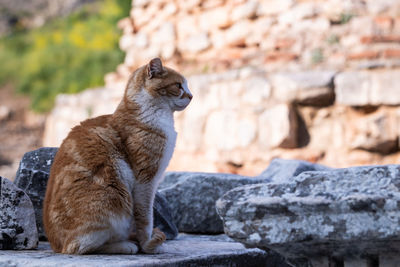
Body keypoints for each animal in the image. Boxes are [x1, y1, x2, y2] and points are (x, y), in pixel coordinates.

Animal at [43, 58, 193, 255]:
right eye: (178, 85)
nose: (191, 96)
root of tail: (57, 247)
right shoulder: (146, 180)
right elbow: (145, 217)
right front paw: (148, 244)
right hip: (112, 201)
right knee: (79, 247)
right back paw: (126, 245)